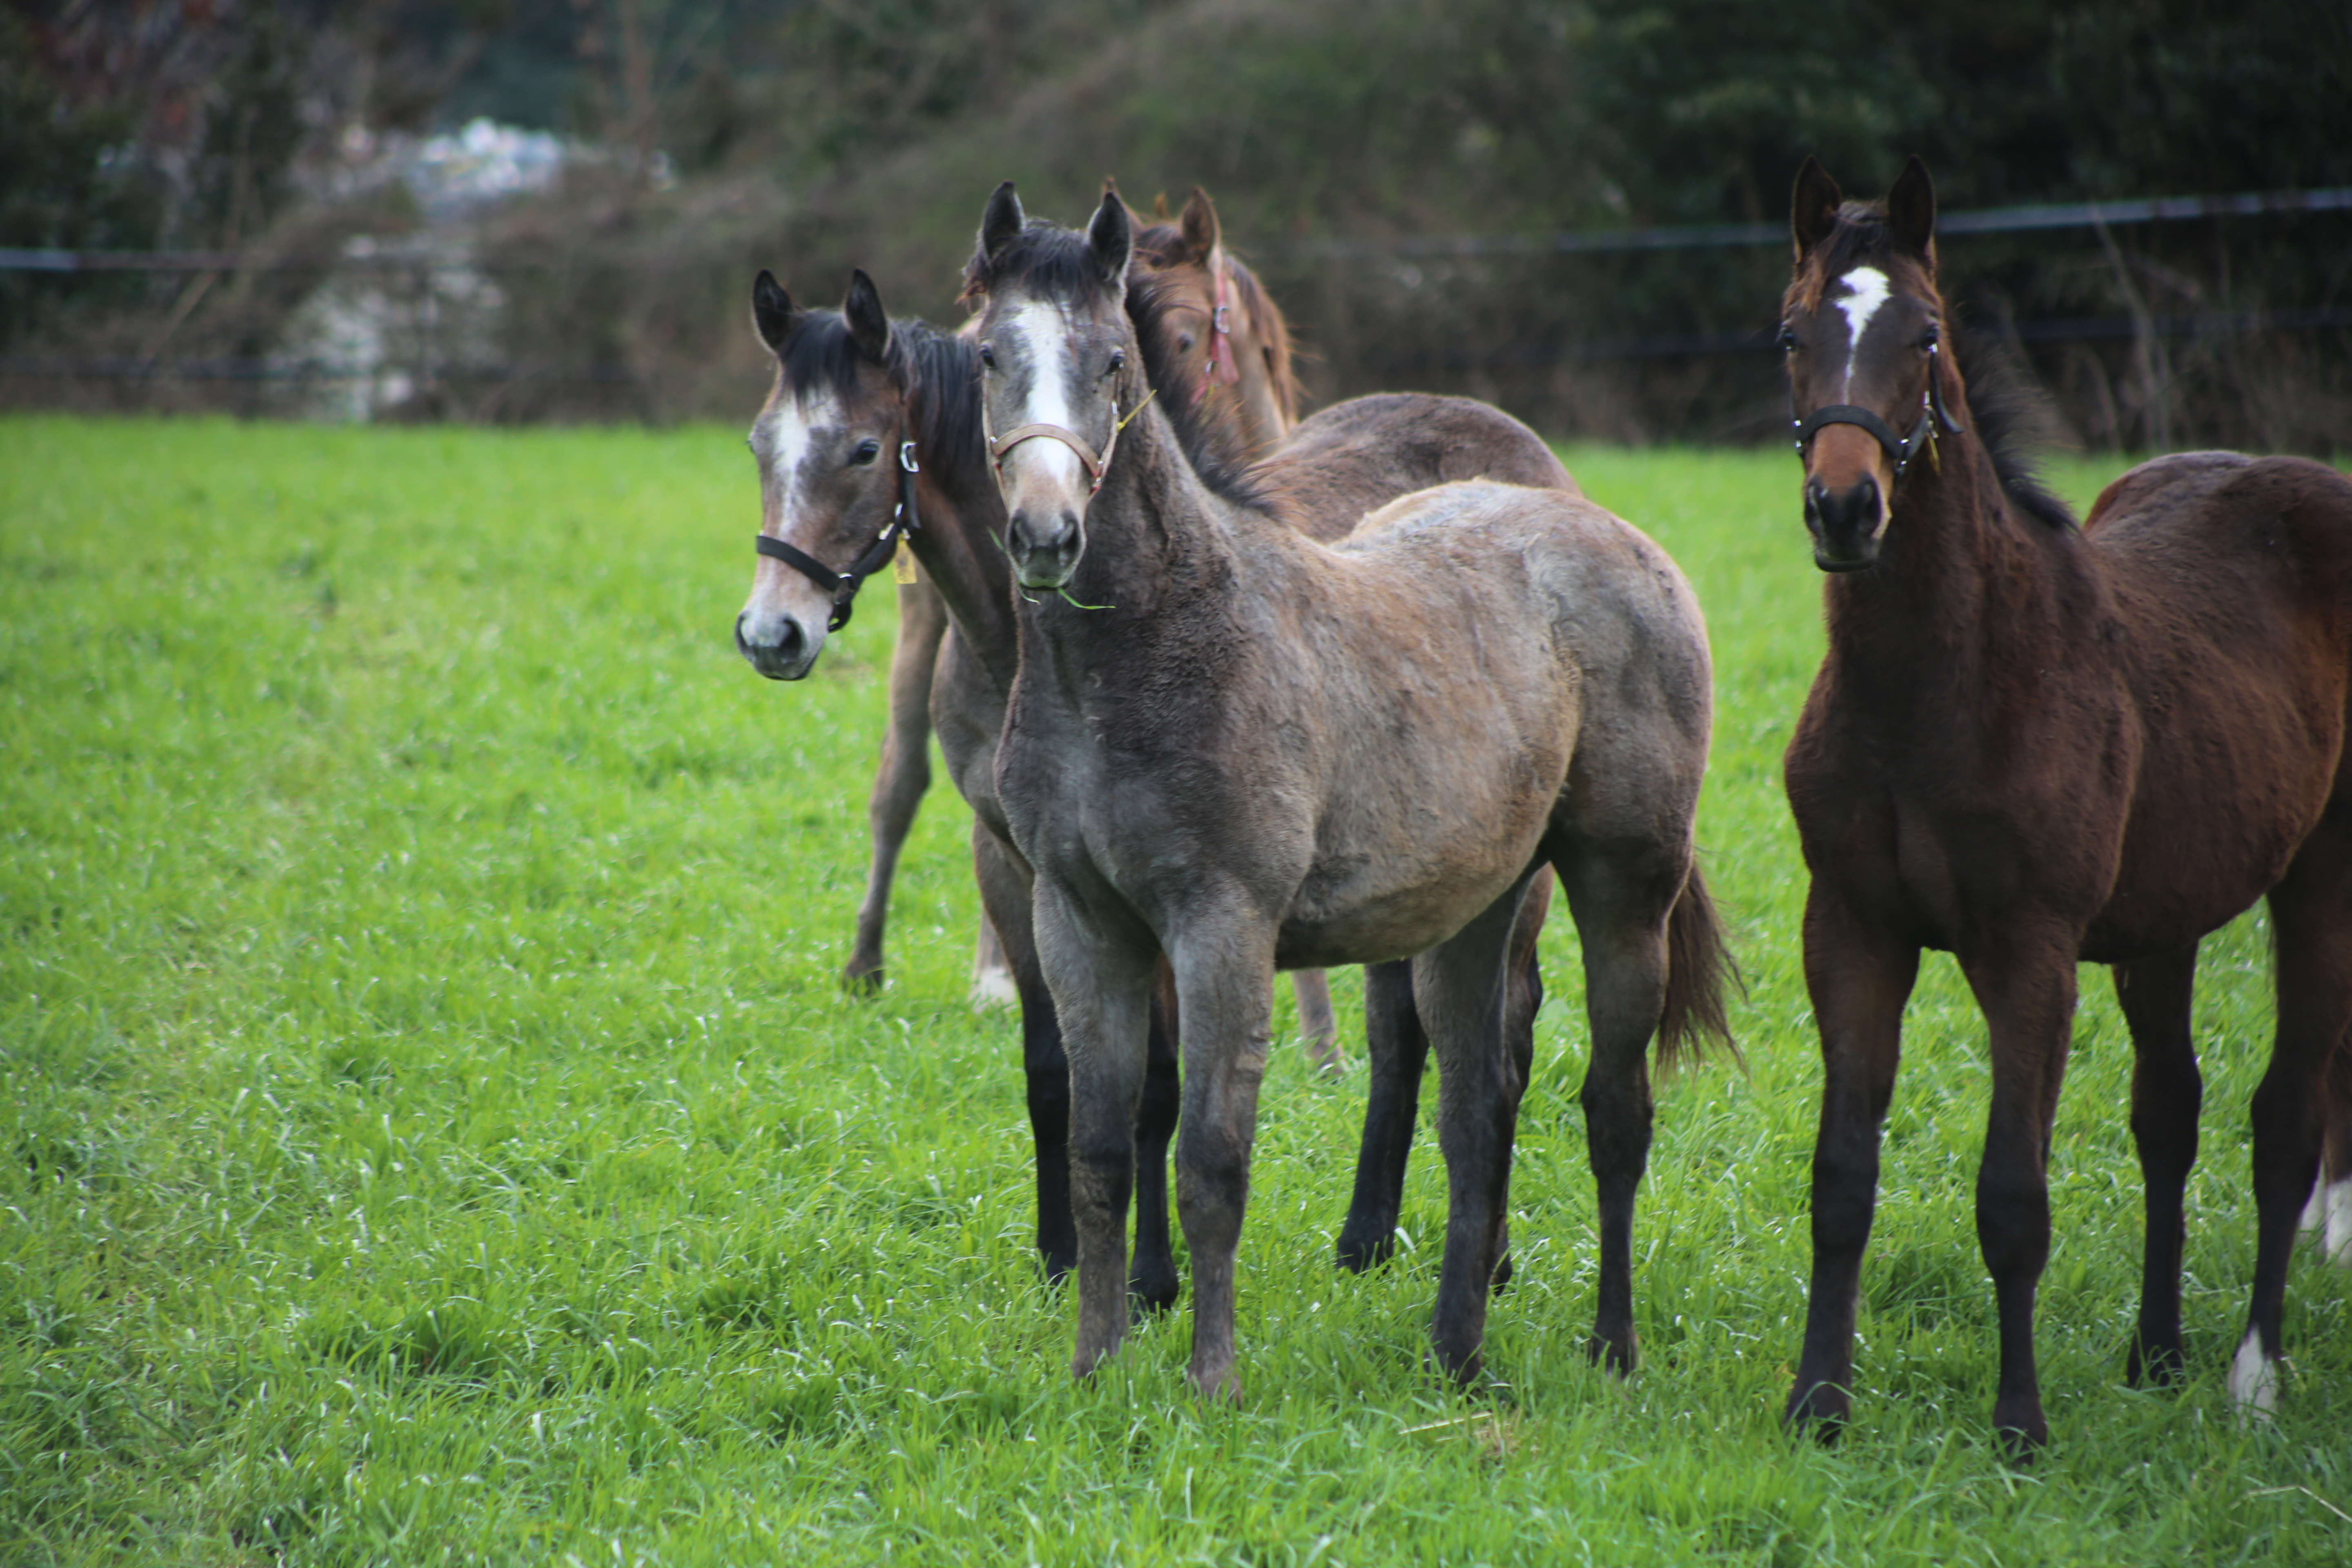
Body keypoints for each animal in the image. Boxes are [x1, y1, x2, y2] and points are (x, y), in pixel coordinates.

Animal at [960, 190, 1731, 1401]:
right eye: (990, 355)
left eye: (1114, 359)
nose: (1046, 535)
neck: (1145, 653)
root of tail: (1614, 534)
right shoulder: (1079, 922)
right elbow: (1098, 1152)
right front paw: (1094, 1365)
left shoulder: (1221, 924)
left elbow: (1212, 1159)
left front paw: (1212, 1380)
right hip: (1477, 914)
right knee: (1475, 1114)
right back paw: (1457, 1352)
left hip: (1624, 888)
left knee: (1614, 1111)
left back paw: (1611, 1347)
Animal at [1778, 153, 2352, 1457]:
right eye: (1790, 334)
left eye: (1923, 335)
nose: (1844, 510)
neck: (1947, 683)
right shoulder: (1853, 931)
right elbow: (1840, 1180)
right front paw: (1817, 1403)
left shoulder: (2029, 952)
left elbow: (2012, 1197)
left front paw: (2019, 1426)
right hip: (2167, 916)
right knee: (2169, 1112)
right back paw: (2155, 1351)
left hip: (2321, 875)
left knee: (2284, 1115)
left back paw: (2252, 1375)